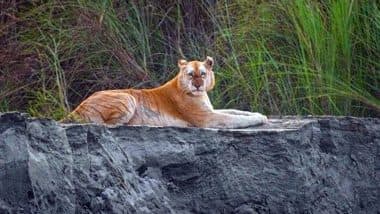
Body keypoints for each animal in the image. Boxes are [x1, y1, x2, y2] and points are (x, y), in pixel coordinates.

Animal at [61, 56, 268, 128]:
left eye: (202, 73)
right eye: (191, 74)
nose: (198, 85)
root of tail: (77, 108)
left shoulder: (211, 110)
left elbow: (236, 111)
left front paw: (260, 114)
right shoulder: (207, 118)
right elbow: (235, 119)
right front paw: (258, 119)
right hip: (128, 98)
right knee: (107, 124)